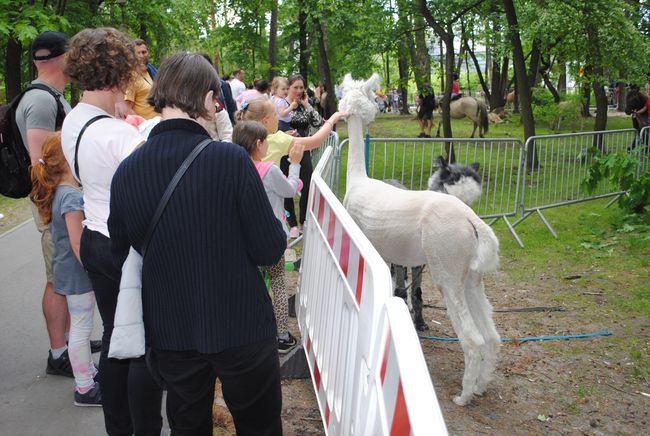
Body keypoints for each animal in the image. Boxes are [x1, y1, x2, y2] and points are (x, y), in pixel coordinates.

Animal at [342, 74, 498, 406]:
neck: (358, 180)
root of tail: (473, 222)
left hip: (447, 270)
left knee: (473, 339)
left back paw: (464, 396)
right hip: (471, 277)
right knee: (491, 334)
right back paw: (481, 386)